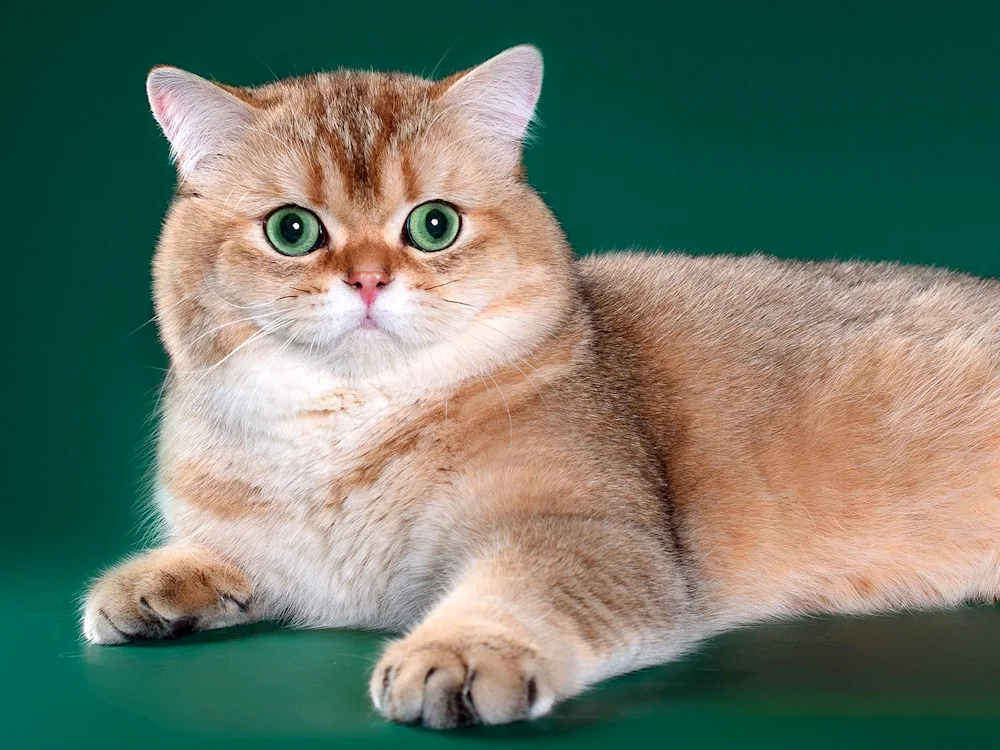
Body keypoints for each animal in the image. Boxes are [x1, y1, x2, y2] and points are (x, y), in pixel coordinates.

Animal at [80, 45, 1000, 728]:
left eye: (434, 225)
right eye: (292, 230)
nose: (369, 281)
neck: (343, 430)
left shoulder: (589, 534)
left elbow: (521, 588)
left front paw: (461, 653)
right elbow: (241, 558)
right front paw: (160, 584)